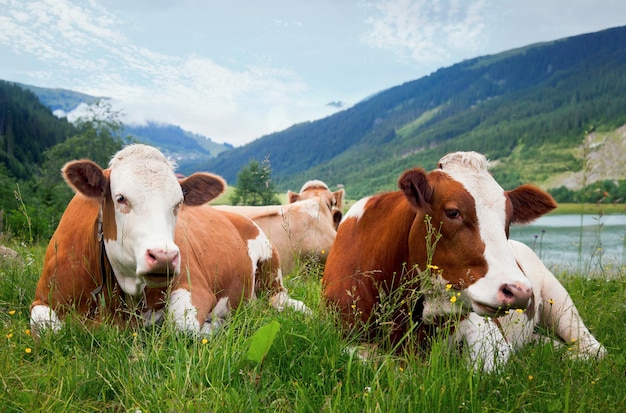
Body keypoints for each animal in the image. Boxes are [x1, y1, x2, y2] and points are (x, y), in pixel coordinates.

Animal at [29, 143, 308, 336]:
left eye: (178, 204)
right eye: (120, 198)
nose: (163, 256)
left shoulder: (194, 285)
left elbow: (184, 327)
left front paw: (215, 325)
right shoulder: (43, 298)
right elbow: (47, 329)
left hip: (271, 270)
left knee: (282, 300)